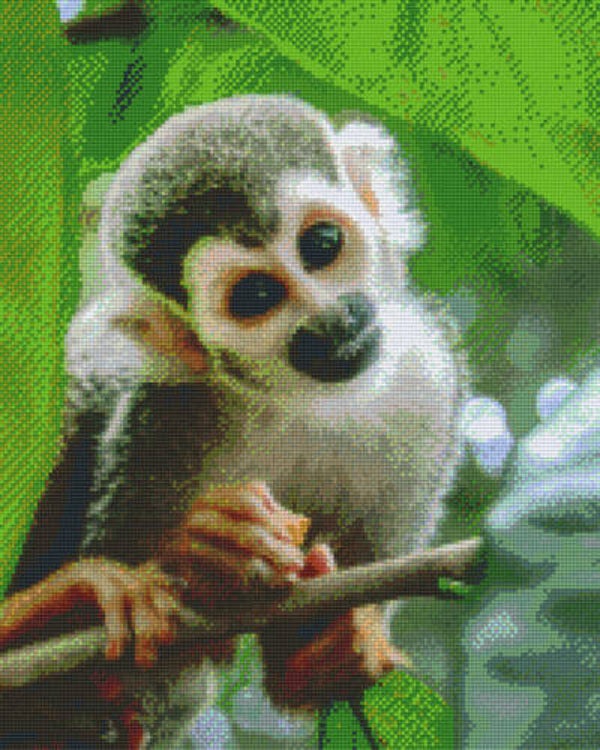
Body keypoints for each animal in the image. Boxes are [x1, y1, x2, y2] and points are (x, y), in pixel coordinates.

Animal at [0, 95, 467, 748]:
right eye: (254, 298)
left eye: (322, 244)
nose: (332, 321)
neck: (299, 399)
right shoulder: (160, 417)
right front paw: (209, 548)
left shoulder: (424, 387)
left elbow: (305, 667)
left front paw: (337, 642)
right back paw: (59, 604)